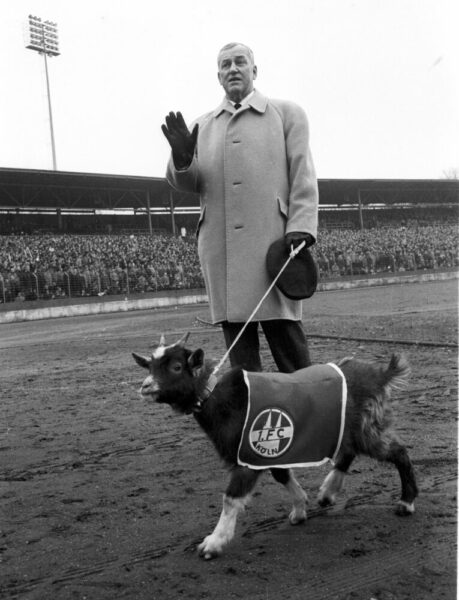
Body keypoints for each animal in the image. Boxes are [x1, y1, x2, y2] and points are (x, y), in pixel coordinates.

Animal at [131, 336, 418, 560]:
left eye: (177, 367)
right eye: (151, 365)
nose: (145, 387)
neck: (214, 396)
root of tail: (380, 375)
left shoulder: (249, 455)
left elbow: (231, 497)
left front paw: (213, 543)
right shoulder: (268, 452)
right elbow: (282, 475)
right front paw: (300, 509)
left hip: (367, 427)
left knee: (398, 452)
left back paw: (406, 502)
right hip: (350, 429)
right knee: (349, 452)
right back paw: (327, 493)